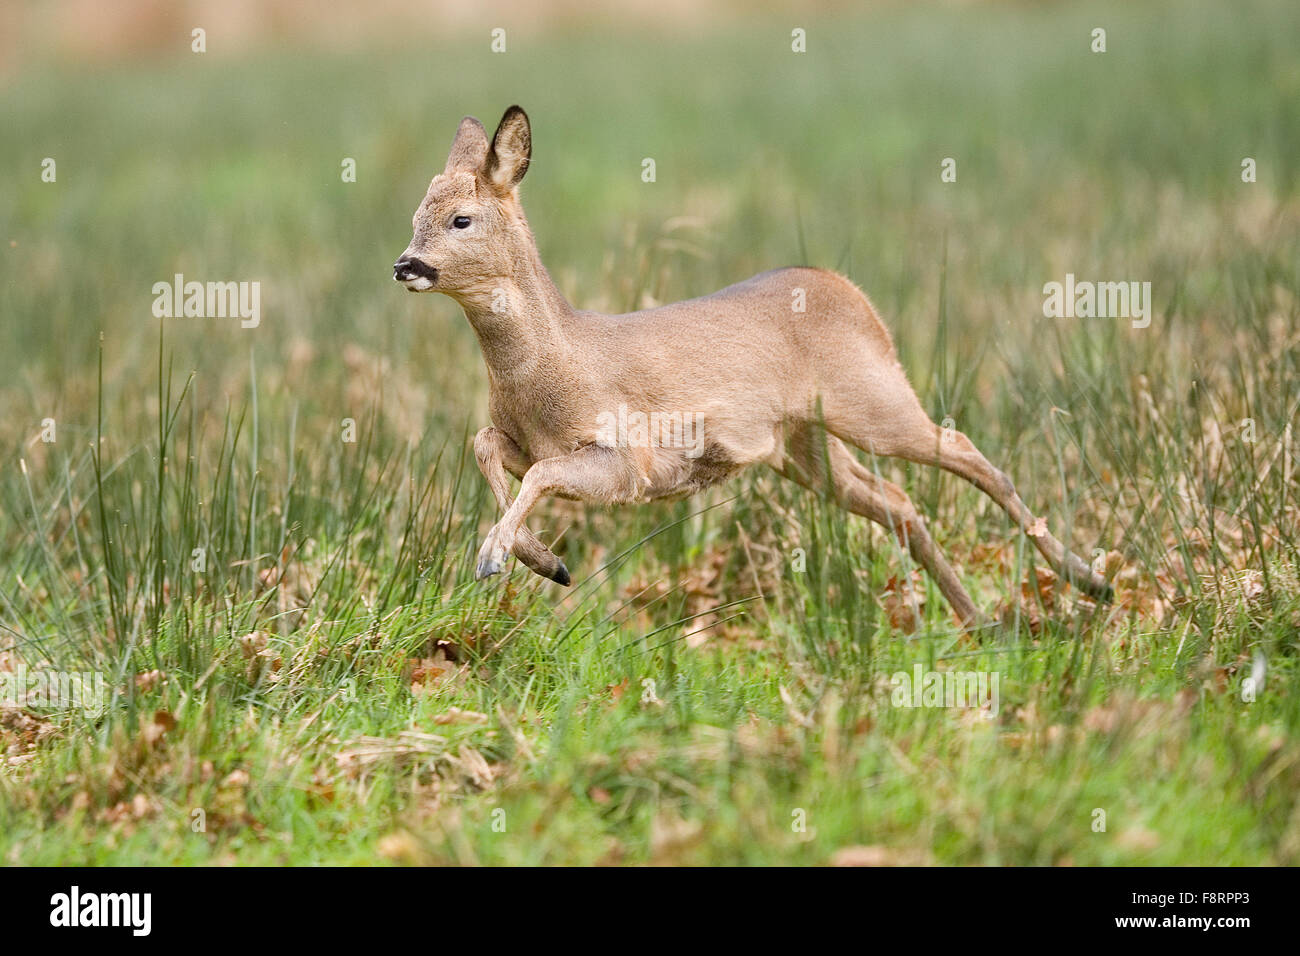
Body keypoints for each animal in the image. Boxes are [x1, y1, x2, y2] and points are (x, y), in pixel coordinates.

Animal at [390, 106, 1112, 629]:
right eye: (415, 215)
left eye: (462, 219)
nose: (405, 264)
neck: (555, 364)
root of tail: (854, 294)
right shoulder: (526, 440)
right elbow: (484, 443)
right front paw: (544, 561)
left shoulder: (628, 460)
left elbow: (538, 473)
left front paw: (497, 556)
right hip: (803, 445)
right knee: (900, 503)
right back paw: (981, 621)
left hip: (872, 400)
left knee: (963, 450)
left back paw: (1089, 582)